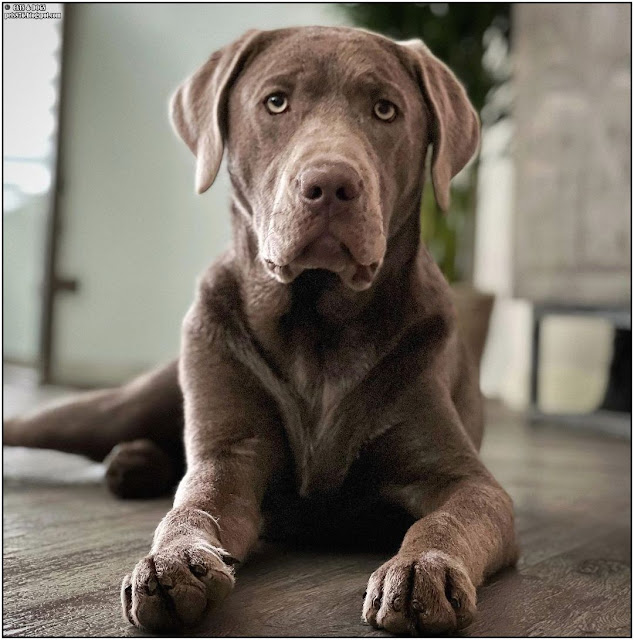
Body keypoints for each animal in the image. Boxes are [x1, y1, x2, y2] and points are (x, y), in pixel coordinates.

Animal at [4, 25, 516, 636]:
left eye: (385, 109)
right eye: (276, 102)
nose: (331, 183)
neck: (316, 326)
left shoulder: (465, 479)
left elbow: (444, 520)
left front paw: (421, 570)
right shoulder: (230, 455)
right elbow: (194, 503)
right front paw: (173, 561)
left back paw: (134, 464)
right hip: (119, 405)